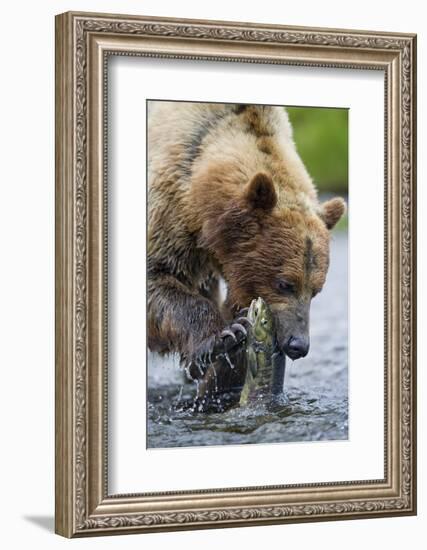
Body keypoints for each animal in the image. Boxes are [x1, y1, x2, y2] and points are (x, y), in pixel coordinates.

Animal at [149, 102, 346, 388]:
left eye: (316, 291)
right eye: (285, 283)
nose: (298, 344)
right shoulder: (170, 208)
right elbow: (159, 276)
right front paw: (225, 335)